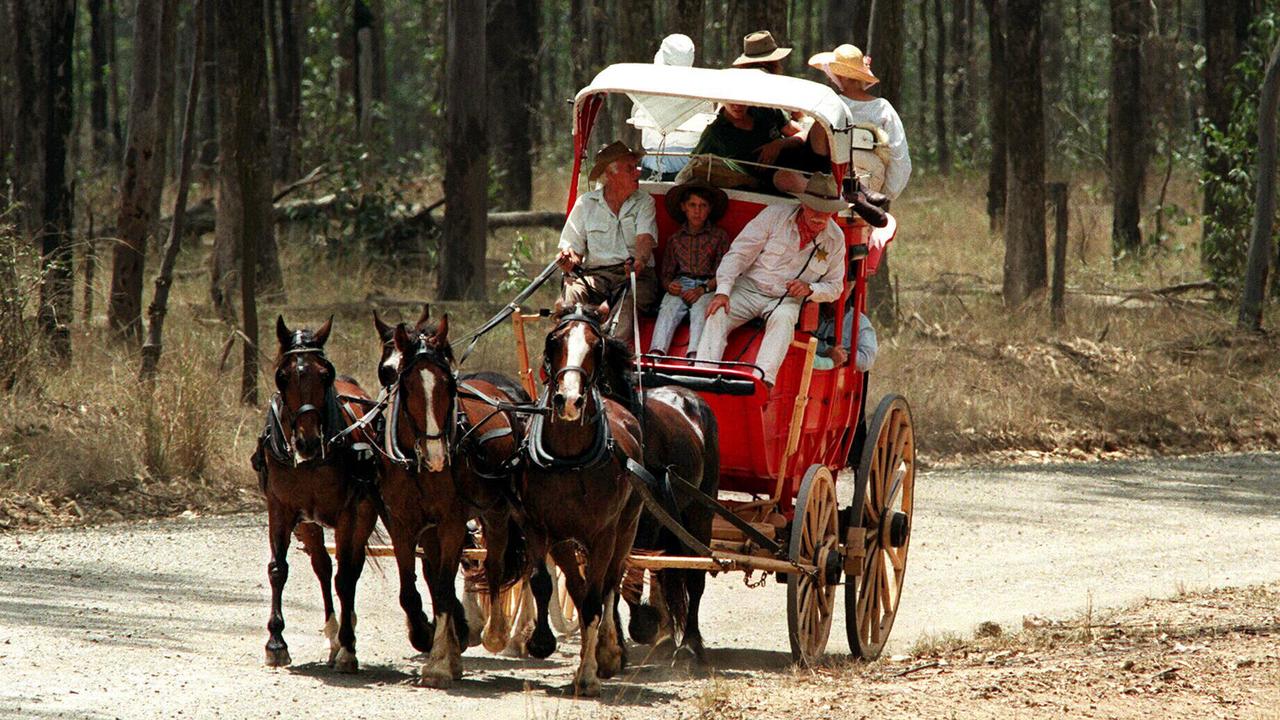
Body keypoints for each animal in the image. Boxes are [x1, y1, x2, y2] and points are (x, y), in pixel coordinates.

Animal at [252, 316, 376, 671]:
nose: (306, 442)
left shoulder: (350, 513)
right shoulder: (280, 510)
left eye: (325, 373)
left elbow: (347, 577)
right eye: (282, 376)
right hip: (309, 523)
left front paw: (348, 647)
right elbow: (278, 569)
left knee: (351, 569)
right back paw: (333, 634)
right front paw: (276, 642)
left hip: (364, 514)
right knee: (323, 566)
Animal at [373, 307, 527, 681]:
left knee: (497, 564)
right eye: (396, 377)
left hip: (497, 511)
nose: (437, 456)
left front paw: (442, 662)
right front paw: (428, 638)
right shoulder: (403, 524)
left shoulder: (452, 523)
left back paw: (498, 632)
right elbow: (412, 588)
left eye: (448, 383)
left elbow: (443, 587)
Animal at [519, 299, 645, 691]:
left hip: (626, 530)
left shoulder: (603, 536)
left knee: (608, 585)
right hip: (566, 541)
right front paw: (540, 641)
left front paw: (589, 672)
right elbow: (542, 582)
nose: (570, 400)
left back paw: (608, 652)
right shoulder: (538, 527)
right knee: (576, 585)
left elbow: (594, 598)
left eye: (596, 345)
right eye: (553, 342)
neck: (569, 459)